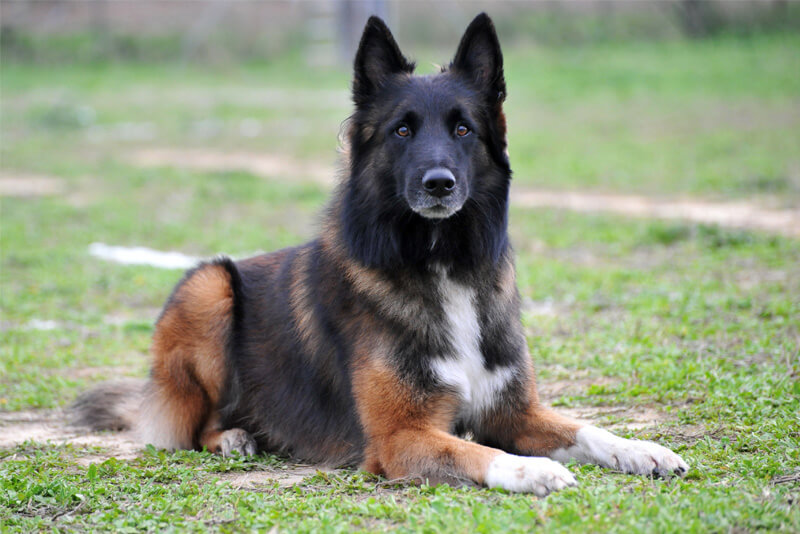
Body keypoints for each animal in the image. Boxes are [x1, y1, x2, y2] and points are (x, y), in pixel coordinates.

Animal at [75, 12, 688, 498]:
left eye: (463, 129)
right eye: (401, 131)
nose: (439, 184)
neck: (441, 267)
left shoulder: (515, 411)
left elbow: (585, 428)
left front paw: (643, 449)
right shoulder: (400, 437)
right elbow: (481, 453)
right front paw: (532, 470)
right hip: (209, 286)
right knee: (192, 428)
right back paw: (233, 436)